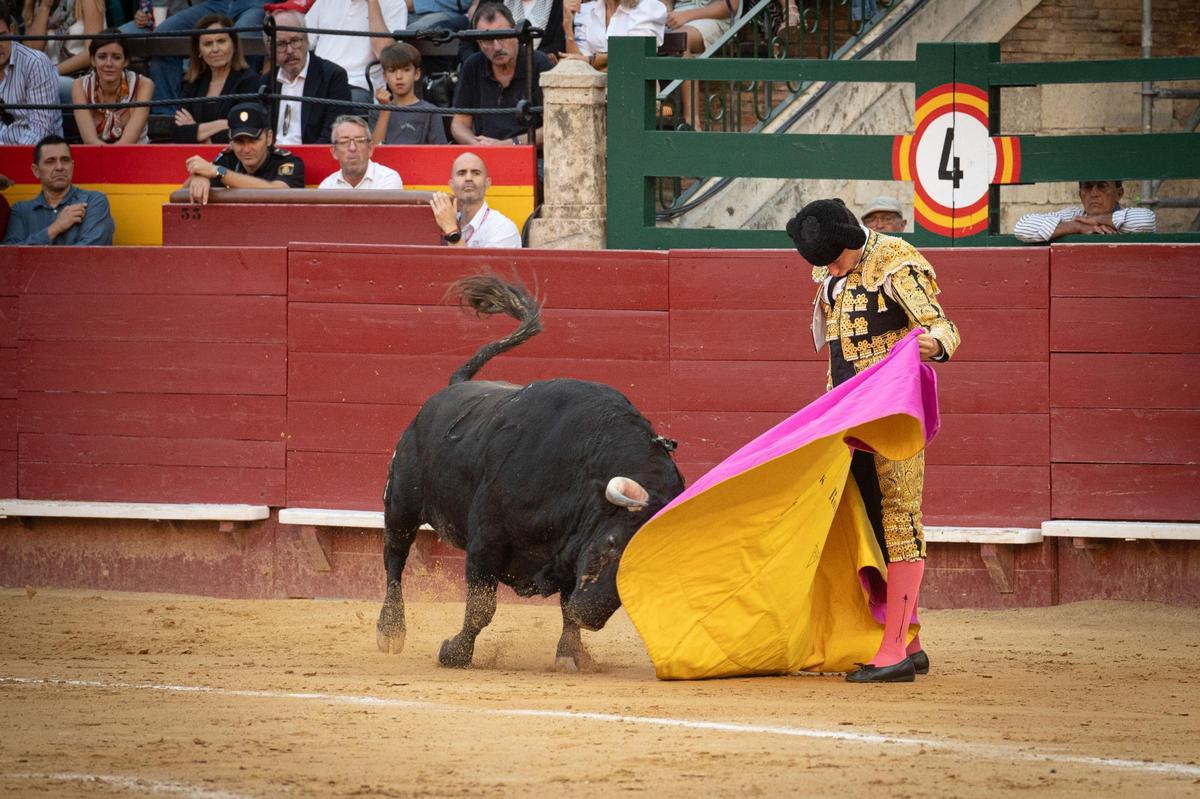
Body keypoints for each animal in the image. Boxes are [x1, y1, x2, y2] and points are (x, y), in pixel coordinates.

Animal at [374, 277, 686, 667]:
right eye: (613, 543)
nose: (591, 616)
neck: (581, 472)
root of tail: (453, 386)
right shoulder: (486, 543)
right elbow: (481, 608)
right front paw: (454, 652)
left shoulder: (568, 553)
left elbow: (565, 608)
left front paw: (571, 654)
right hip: (401, 502)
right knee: (394, 558)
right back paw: (390, 631)